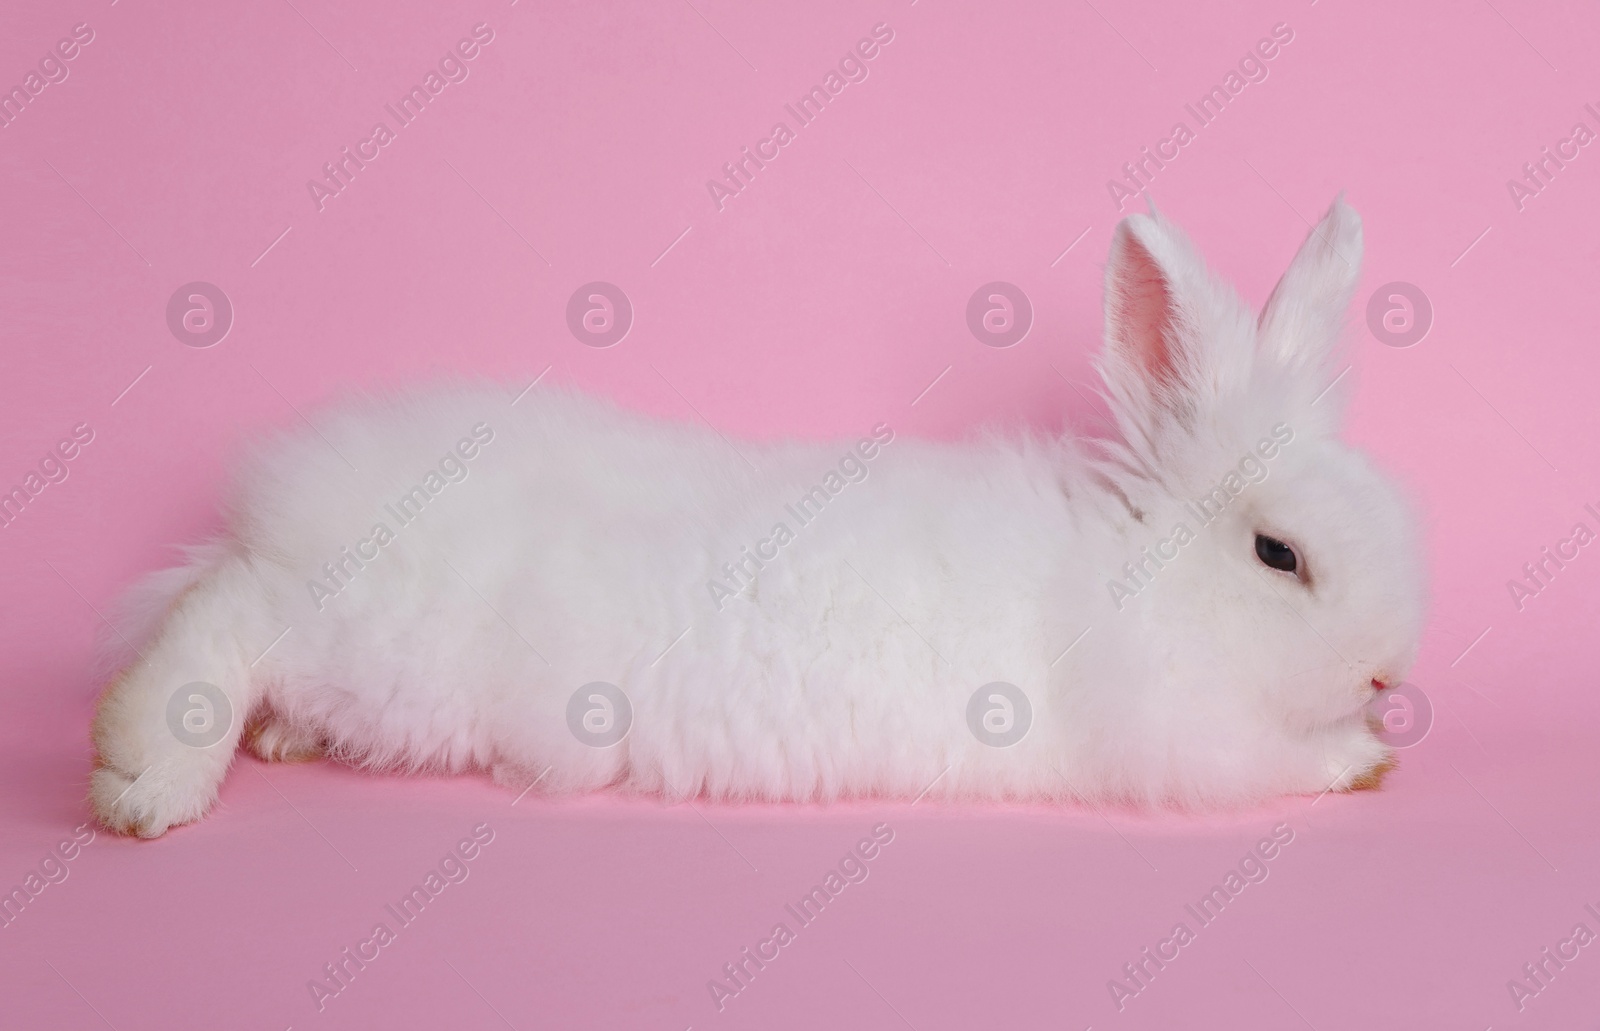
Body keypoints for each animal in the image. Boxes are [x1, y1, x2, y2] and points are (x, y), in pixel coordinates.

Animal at [87, 199, 1427, 838]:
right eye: (1278, 554)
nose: (1387, 668)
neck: (1140, 575)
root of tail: (310, 496)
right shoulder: (1181, 743)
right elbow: (1279, 762)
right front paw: (1361, 758)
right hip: (377, 646)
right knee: (224, 616)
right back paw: (142, 781)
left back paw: (274, 746)